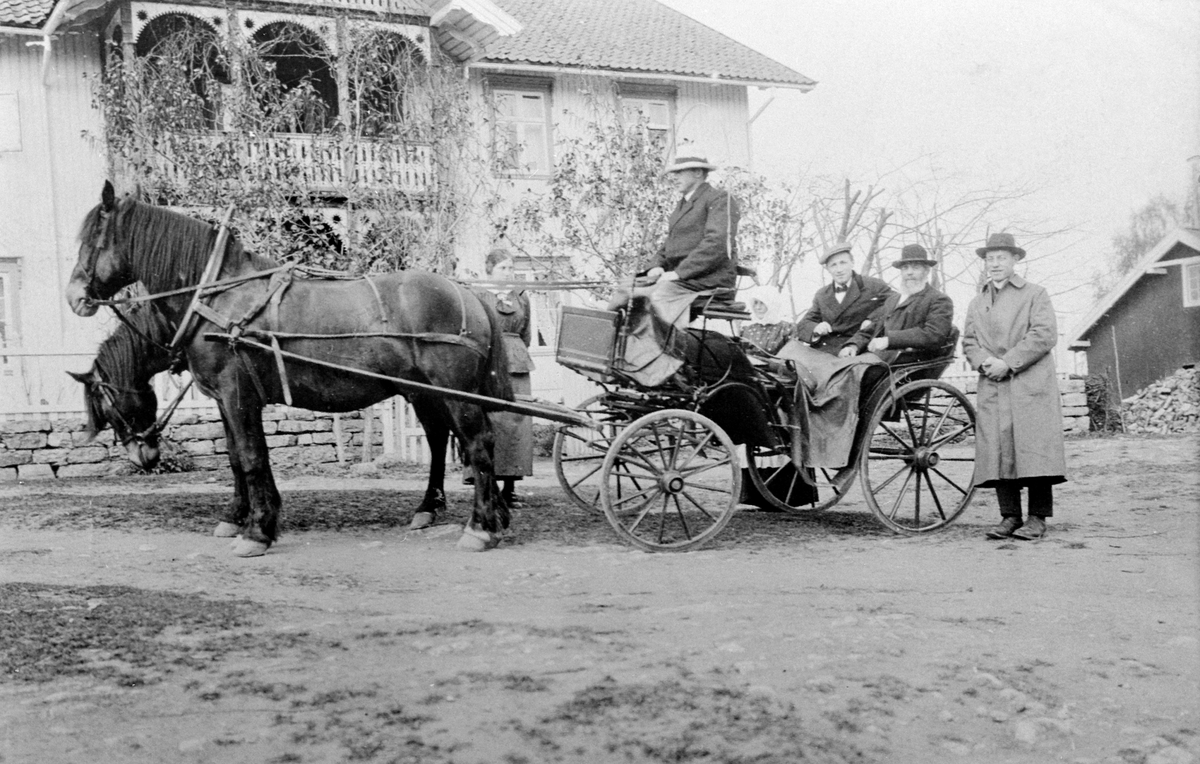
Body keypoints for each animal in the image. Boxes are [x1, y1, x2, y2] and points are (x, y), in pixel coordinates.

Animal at [68, 183, 513, 554]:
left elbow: (251, 457)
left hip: (454, 394)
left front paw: (257, 531)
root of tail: (467, 293)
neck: (214, 296)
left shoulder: (237, 395)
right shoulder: (225, 401)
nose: (75, 296)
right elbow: (236, 457)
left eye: (92, 241)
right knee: (442, 440)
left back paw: (481, 527)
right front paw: (240, 518)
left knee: (478, 444)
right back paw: (451, 510)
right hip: (425, 392)